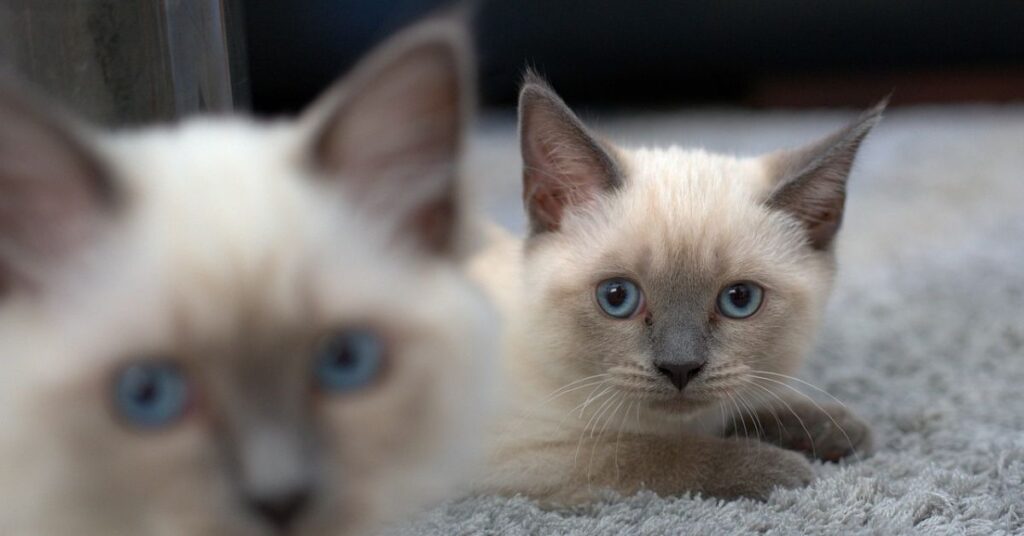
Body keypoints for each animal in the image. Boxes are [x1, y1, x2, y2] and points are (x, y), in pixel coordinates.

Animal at [471, 74, 880, 504]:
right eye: (617, 297)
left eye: (740, 300)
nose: (680, 367)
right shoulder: (525, 451)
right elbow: (654, 453)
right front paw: (782, 468)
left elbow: (747, 406)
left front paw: (834, 428)